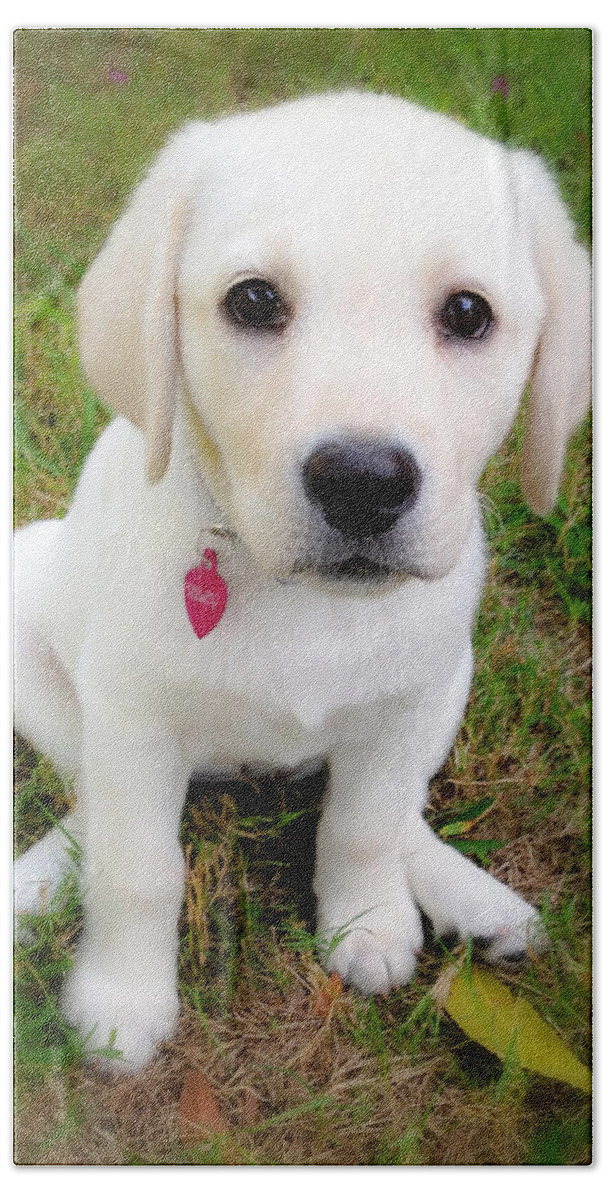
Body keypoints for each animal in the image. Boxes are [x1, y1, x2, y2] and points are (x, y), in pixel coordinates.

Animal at [14, 91, 590, 1070]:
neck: (304, 600)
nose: (362, 481)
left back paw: (472, 901)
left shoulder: (403, 704)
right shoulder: (133, 717)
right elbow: (139, 867)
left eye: (468, 313)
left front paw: (369, 922)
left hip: (453, 682)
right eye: (253, 300)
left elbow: (365, 823)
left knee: (404, 812)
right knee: (91, 804)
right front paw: (121, 1000)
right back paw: (36, 883)